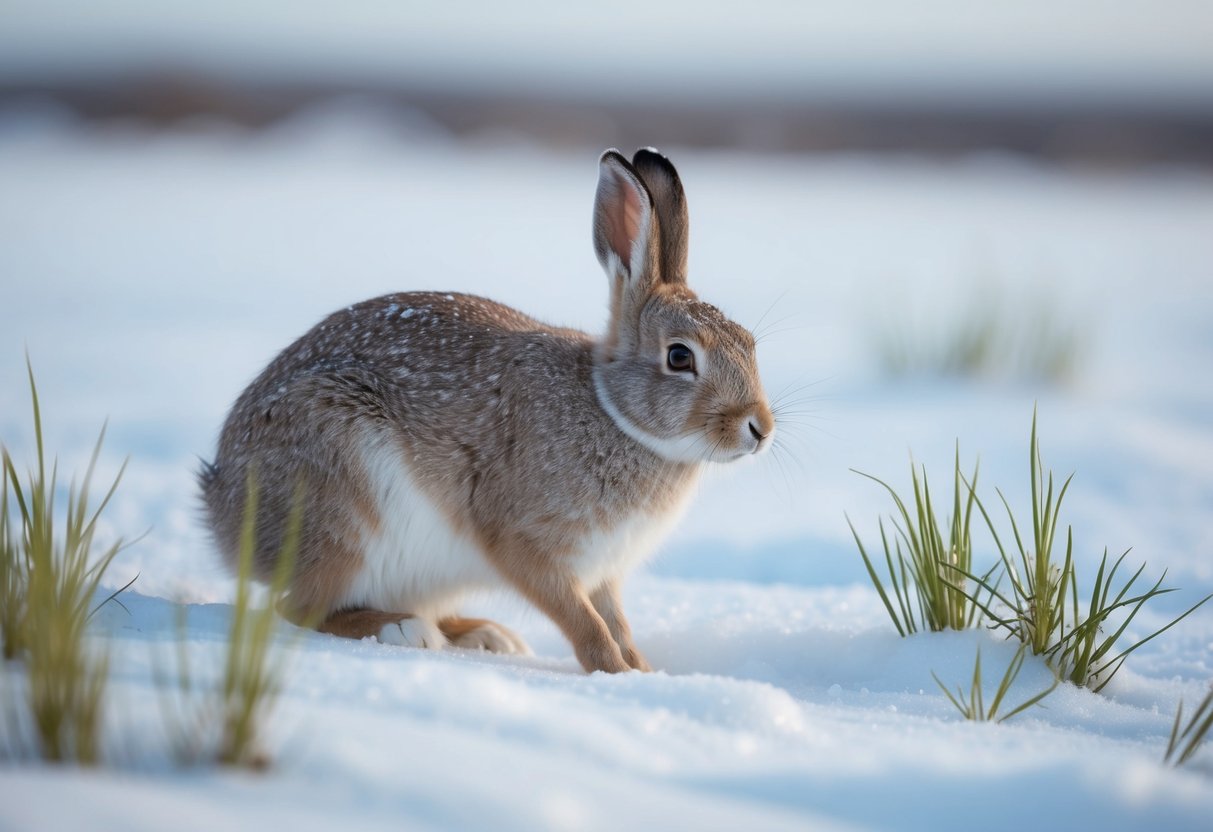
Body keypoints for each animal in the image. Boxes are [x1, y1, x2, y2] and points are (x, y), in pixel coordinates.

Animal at [199, 148, 775, 674]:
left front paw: (642, 672)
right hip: (342, 502)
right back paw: (404, 630)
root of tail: (222, 511)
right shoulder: (529, 545)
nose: (760, 429)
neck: (615, 414)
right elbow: (584, 622)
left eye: (748, 344)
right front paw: (614, 674)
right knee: (297, 607)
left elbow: (616, 622)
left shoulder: (603, 571)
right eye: (680, 357)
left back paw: (487, 636)